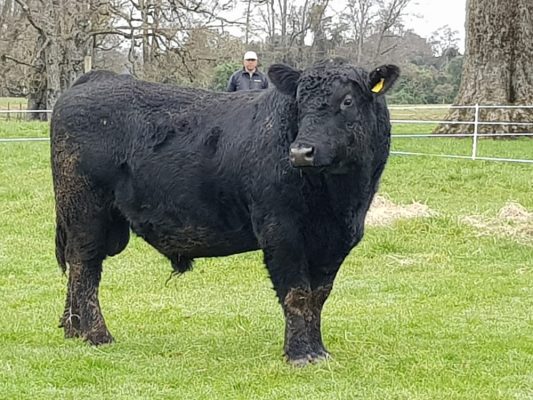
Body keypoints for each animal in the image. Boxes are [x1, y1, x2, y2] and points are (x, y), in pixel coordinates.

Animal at [51, 59, 400, 366]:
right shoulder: (280, 230)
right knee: (85, 267)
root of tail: (97, 78)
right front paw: (300, 355)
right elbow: (297, 293)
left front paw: (319, 351)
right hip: (86, 211)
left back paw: (72, 328)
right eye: (300, 103)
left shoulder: (338, 240)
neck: (339, 200)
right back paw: (96, 335)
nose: (302, 152)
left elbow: (319, 296)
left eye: (347, 101)